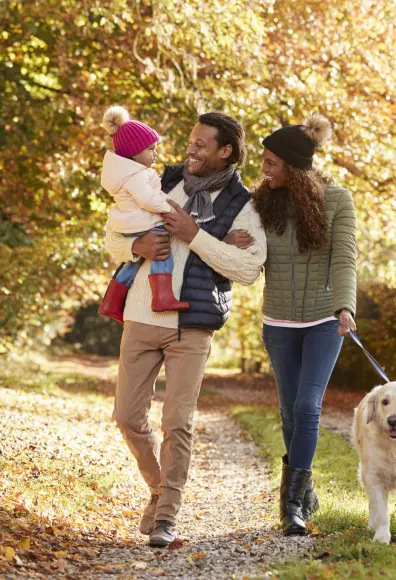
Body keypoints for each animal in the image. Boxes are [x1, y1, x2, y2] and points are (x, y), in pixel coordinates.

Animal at [352, 380, 396, 544]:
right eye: (385, 402)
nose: (393, 421)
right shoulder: (374, 478)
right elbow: (381, 513)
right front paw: (381, 537)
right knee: (373, 505)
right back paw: (371, 526)